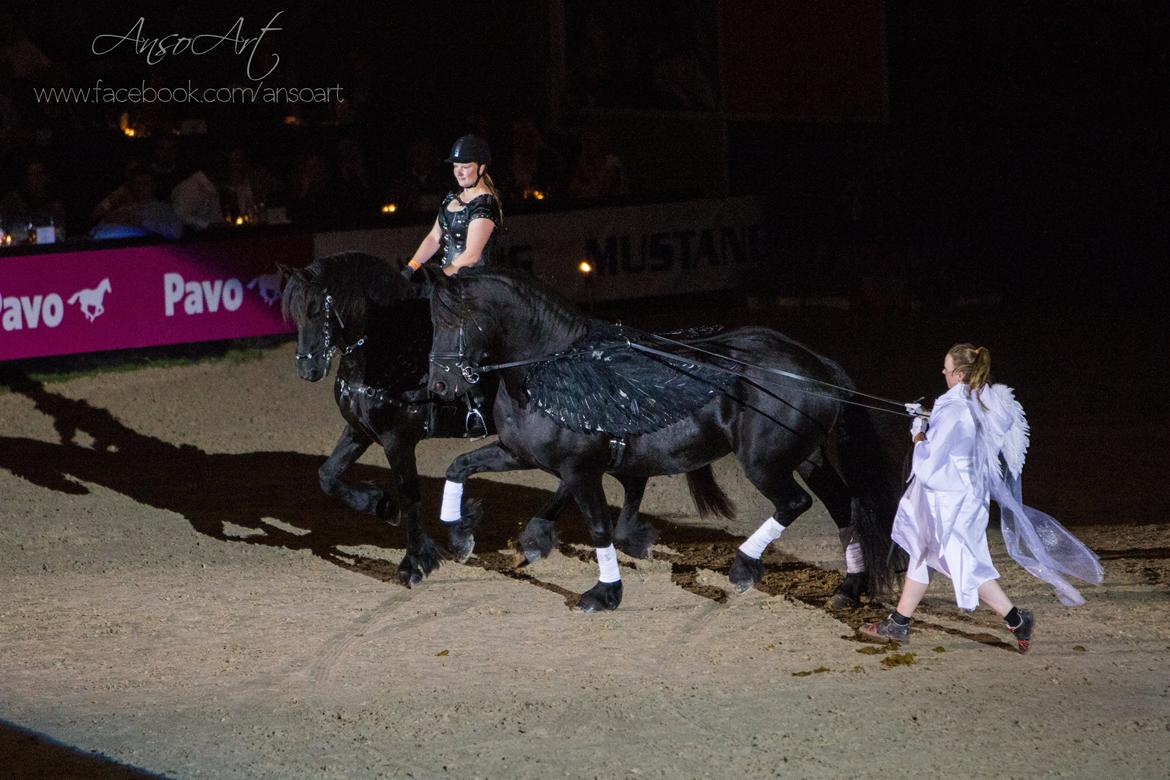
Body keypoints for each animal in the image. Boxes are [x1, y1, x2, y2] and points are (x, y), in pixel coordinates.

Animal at [428, 265, 893, 612]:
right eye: (433, 322)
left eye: (457, 320)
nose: (440, 386)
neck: (551, 371)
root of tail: (816, 366)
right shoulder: (522, 453)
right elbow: (459, 467)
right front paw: (465, 536)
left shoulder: (581, 469)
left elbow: (600, 526)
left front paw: (605, 593)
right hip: (808, 457)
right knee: (841, 505)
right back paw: (848, 588)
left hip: (765, 462)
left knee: (795, 503)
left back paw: (743, 567)